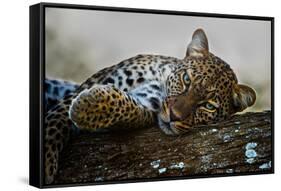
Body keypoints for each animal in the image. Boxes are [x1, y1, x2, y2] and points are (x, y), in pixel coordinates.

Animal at [43, 28, 256, 184]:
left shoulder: (145, 105)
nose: (173, 116)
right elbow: (56, 121)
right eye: (186, 79)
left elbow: (127, 109)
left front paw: (88, 106)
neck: (160, 81)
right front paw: (46, 162)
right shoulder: (88, 85)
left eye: (209, 106)